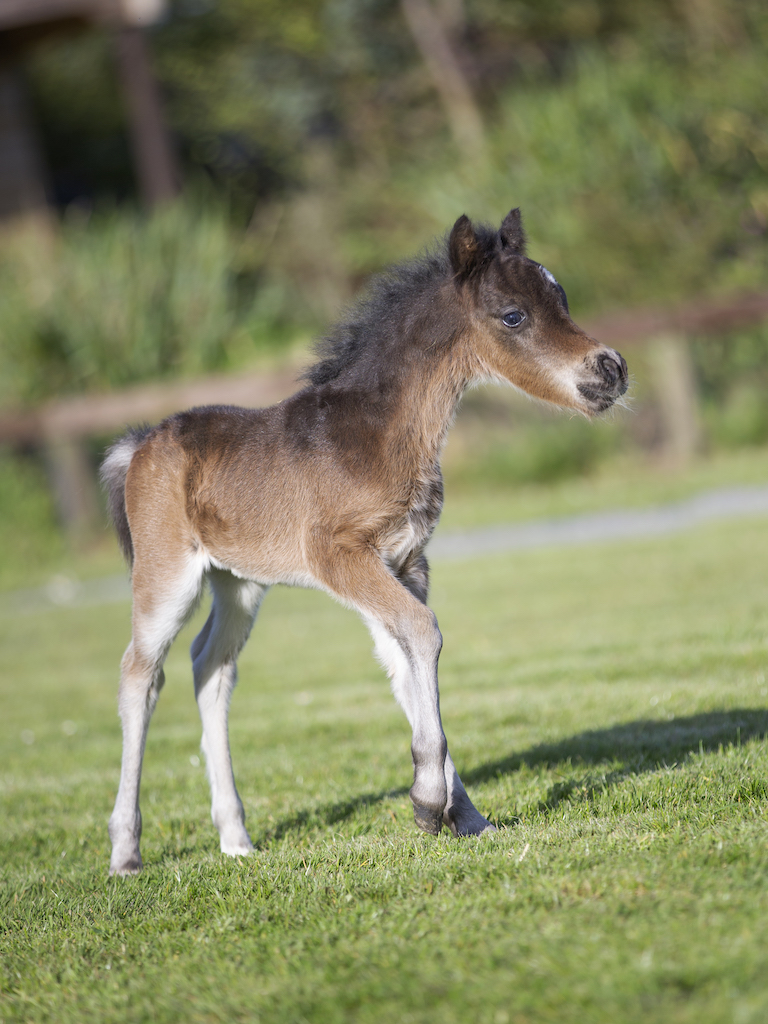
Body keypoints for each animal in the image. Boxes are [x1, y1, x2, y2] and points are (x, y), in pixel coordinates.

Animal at [101, 208, 628, 875]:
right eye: (513, 315)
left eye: (561, 298)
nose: (611, 369)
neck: (379, 435)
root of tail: (140, 442)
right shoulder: (339, 557)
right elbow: (423, 636)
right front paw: (430, 803)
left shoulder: (405, 563)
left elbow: (406, 659)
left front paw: (465, 816)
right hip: (167, 573)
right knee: (141, 674)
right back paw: (126, 851)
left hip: (239, 581)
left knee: (211, 666)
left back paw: (236, 837)